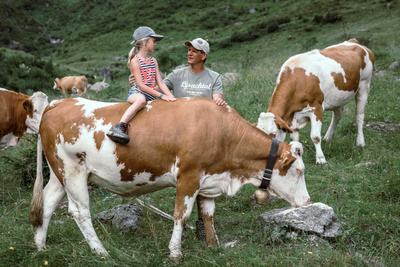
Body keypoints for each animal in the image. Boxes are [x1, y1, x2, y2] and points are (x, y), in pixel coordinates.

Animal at [28, 97, 310, 262]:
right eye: (299, 170)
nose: (307, 201)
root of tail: (58, 102)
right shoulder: (189, 176)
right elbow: (181, 215)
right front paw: (175, 252)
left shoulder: (209, 180)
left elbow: (208, 213)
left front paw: (213, 245)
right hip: (73, 170)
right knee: (79, 211)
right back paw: (100, 251)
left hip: (59, 173)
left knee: (49, 202)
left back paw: (40, 246)